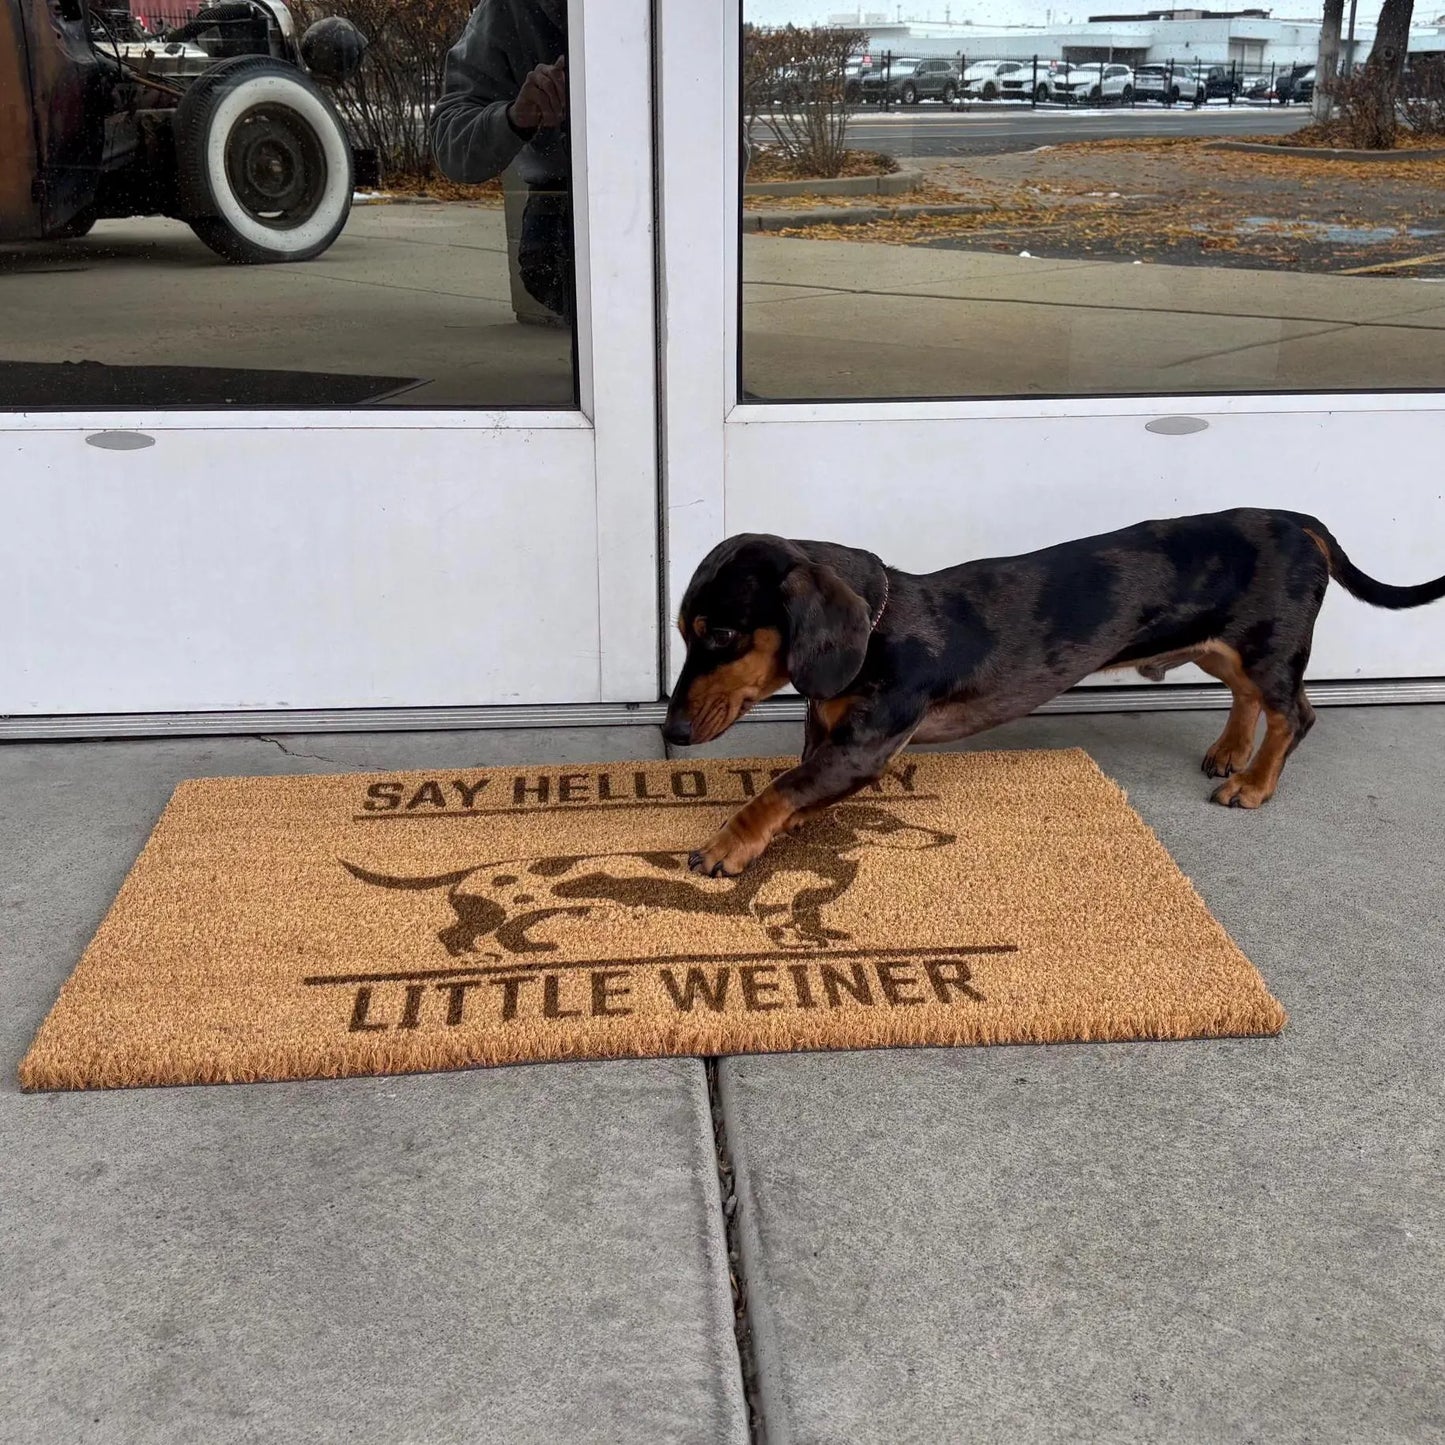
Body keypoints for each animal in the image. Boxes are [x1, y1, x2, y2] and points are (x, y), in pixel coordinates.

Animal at [664, 514, 1445, 884]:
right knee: (1251, 700)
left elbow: (777, 791)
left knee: (1296, 713)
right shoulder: (827, 742)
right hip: (1219, 646)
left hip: (1266, 647)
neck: (882, 625)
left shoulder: (862, 749)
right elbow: (789, 789)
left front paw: (725, 847)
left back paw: (1253, 785)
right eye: (681, 630)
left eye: (722, 633)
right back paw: (1230, 754)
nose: (671, 732)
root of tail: (1294, 520)